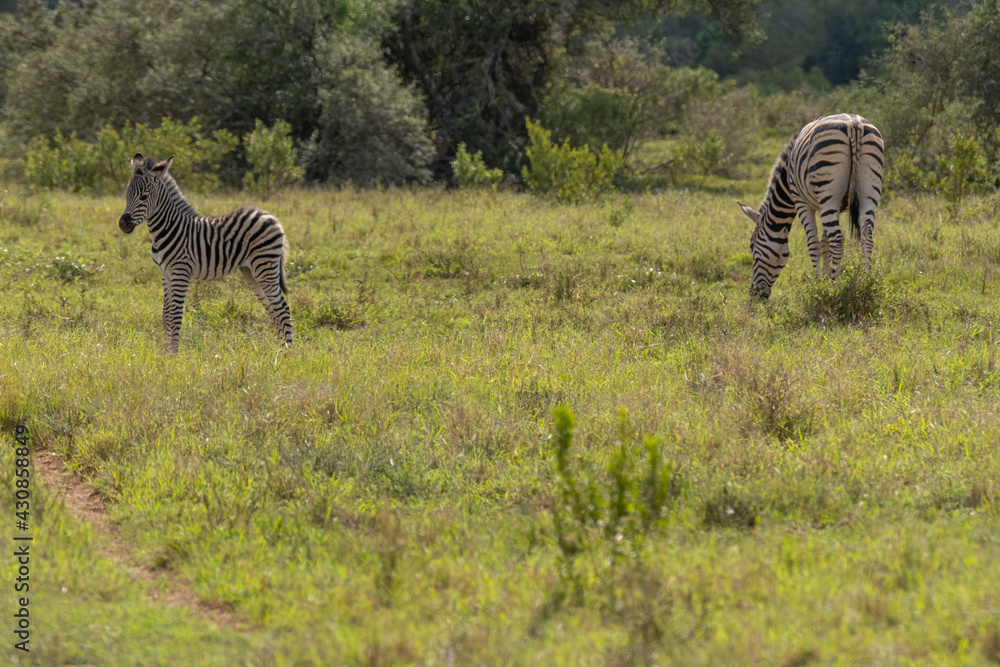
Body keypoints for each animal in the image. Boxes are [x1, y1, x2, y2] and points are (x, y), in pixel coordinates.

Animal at [118, 153, 292, 352]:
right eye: (126, 195)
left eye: (144, 196)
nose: (123, 224)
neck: (167, 229)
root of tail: (271, 216)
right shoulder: (166, 274)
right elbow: (166, 315)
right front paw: (165, 351)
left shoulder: (181, 272)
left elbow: (175, 315)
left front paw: (174, 353)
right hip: (251, 272)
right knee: (272, 308)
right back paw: (276, 347)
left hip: (265, 267)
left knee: (282, 307)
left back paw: (287, 350)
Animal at [737, 113, 884, 300]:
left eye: (751, 245)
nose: (754, 294)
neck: (786, 181)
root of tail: (854, 124)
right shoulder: (833, 207)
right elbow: (824, 244)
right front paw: (826, 278)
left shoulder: (802, 202)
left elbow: (814, 244)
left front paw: (819, 285)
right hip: (869, 190)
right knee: (867, 236)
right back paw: (867, 282)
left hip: (827, 191)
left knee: (838, 240)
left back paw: (834, 290)